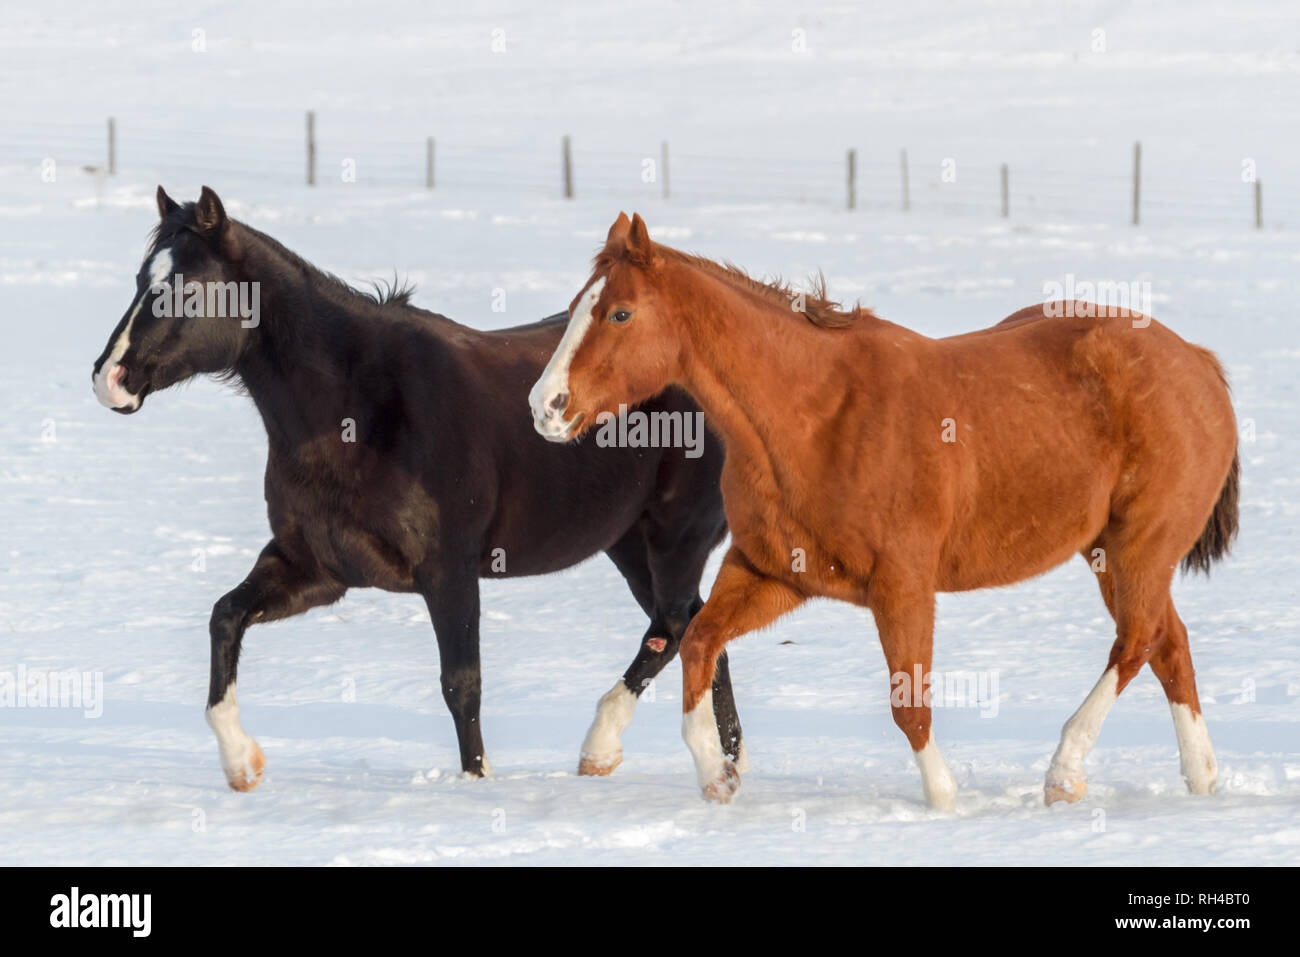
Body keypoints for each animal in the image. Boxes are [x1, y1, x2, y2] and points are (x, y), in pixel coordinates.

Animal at [91, 187, 743, 790]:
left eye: (188, 289)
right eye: (141, 280)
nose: (109, 379)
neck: (362, 410)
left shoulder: (447, 570)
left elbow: (461, 683)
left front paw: (476, 783)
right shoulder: (318, 569)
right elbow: (225, 617)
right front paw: (241, 764)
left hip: (674, 539)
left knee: (674, 626)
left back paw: (605, 749)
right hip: (630, 546)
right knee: (699, 632)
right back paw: (726, 766)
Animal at [530, 214, 1237, 806]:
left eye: (620, 313)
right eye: (578, 306)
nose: (545, 406)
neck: (819, 420)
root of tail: (1200, 364)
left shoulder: (902, 584)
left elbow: (909, 704)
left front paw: (944, 799)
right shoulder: (774, 574)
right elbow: (697, 642)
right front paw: (715, 774)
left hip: (1137, 544)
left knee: (1138, 640)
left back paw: (1065, 773)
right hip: (1111, 553)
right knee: (1168, 643)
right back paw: (1202, 778)